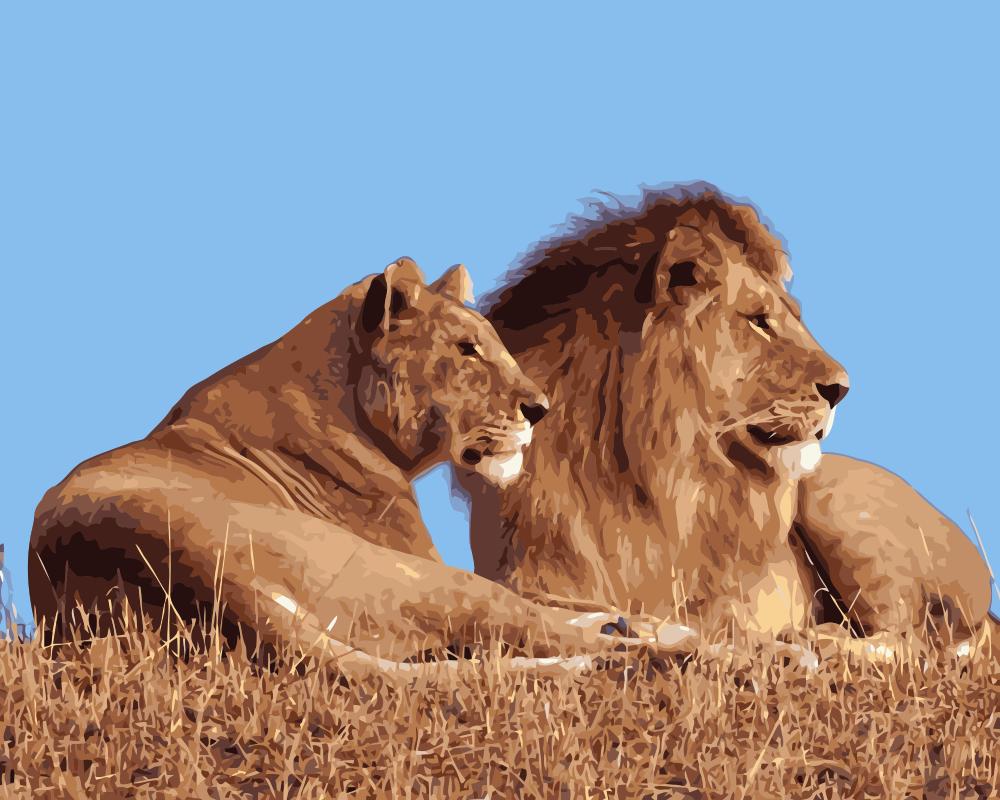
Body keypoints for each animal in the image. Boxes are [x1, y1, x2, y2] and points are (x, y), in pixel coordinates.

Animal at [30, 257, 688, 678]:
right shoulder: (421, 556)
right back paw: (661, 646)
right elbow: (547, 602)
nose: (540, 409)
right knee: (527, 626)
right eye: (466, 349)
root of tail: (173, 553)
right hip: (415, 577)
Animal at [463, 184, 997, 658]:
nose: (842, 389)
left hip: (834, 498)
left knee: (910, 640)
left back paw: (819, 641)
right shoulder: (519, 573)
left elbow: (710, 619)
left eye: (792, 315)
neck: (639, 471)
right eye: (759, 320)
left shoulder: (725, 596)